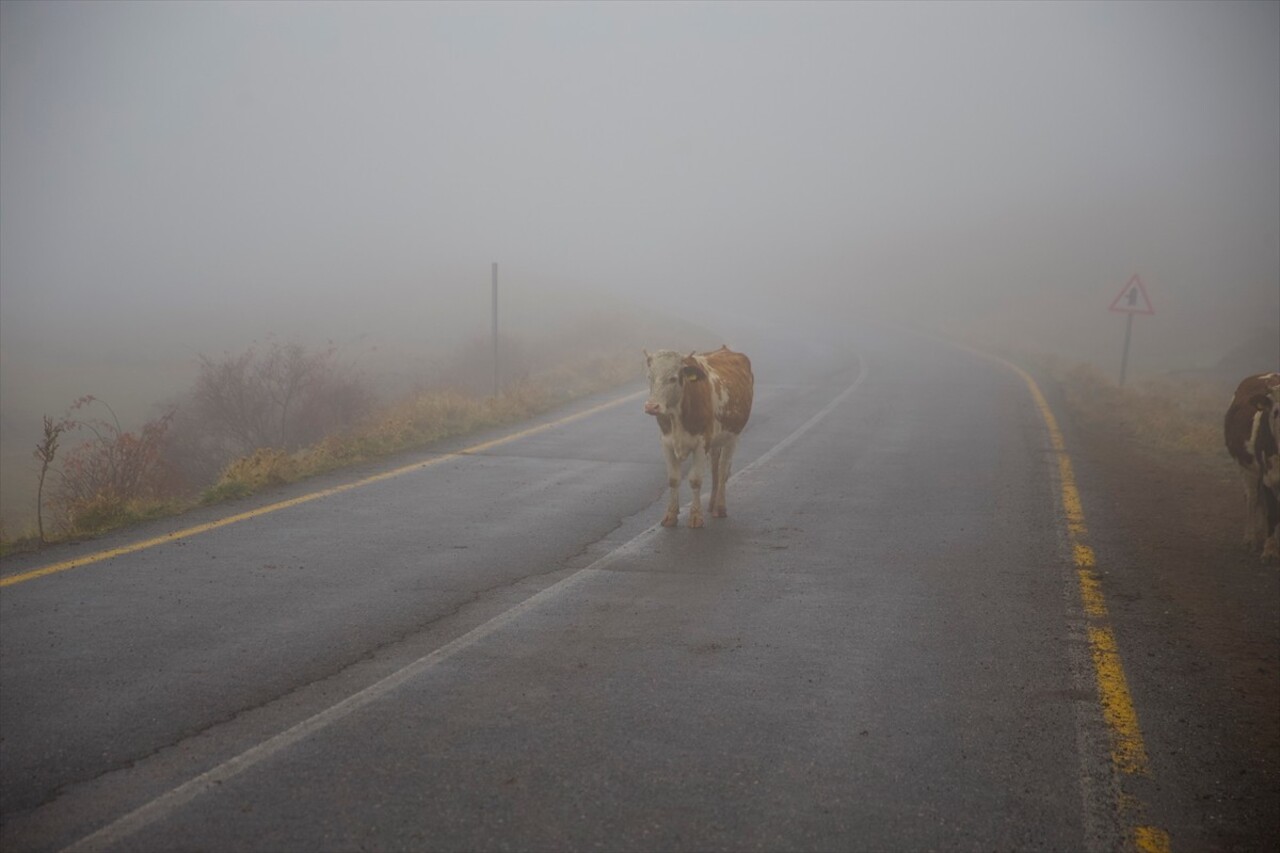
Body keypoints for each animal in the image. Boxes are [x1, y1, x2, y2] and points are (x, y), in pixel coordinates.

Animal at [640, 343, 747, 525]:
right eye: (650, 377)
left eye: (673, 378)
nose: (651, 406)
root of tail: (724, 349)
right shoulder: (666, 442)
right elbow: (673, 479)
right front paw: (670, 515)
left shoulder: (701, 443)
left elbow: (695, 480)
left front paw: (696, 516)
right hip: (715, 441)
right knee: (715, 468)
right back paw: (711, 504)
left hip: (732, 437)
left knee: (723, 470)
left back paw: (720, 507)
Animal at [1218, 371, 1280, 558]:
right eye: (1276, 412)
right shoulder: (1268, 476)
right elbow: (1273, 511)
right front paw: (1270, 550)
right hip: (1245, 468)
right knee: (1252, 498)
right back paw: (1251, 539)